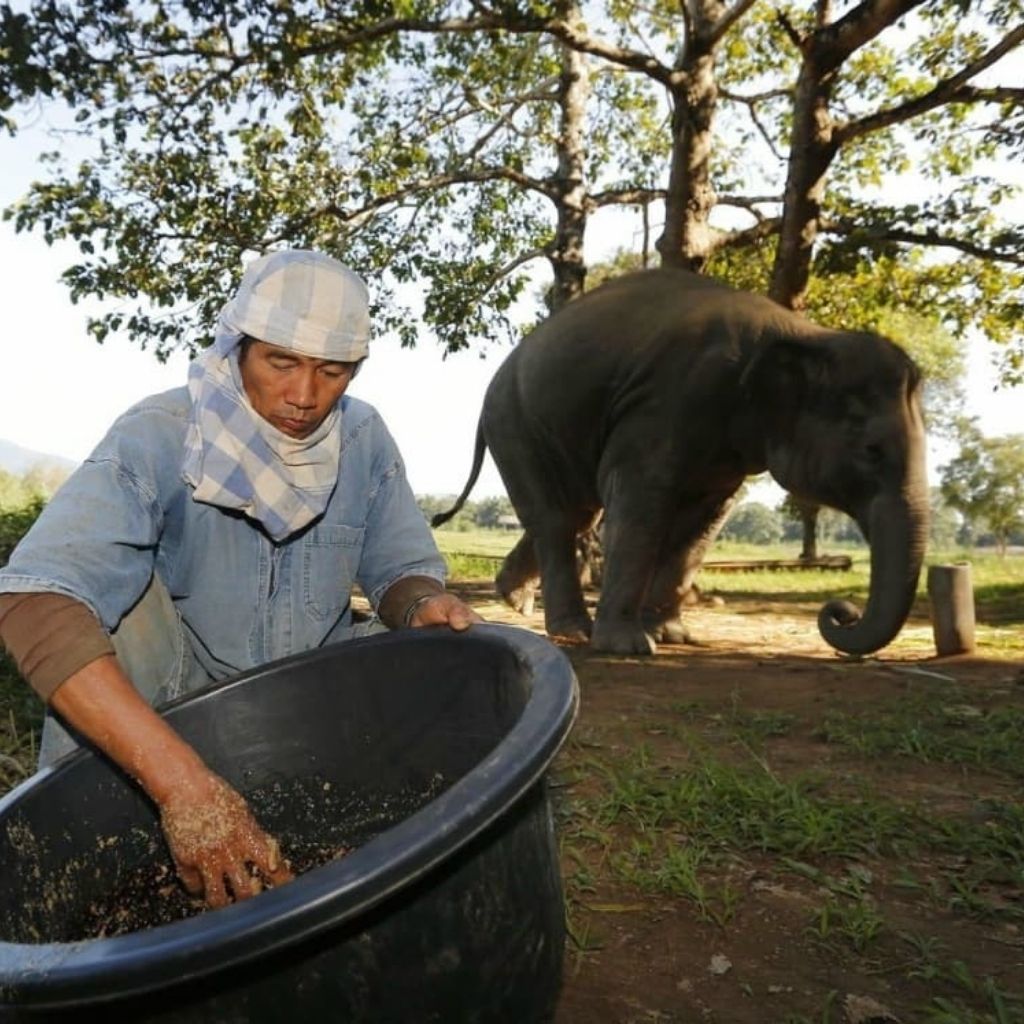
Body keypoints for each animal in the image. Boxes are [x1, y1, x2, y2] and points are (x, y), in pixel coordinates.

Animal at [433, 268, 929, 656]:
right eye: (871, 451)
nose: (840, 613)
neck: (801, 332)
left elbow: (703, 522)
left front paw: (673, 636)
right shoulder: (666, 402)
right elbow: (641, 499)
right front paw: (631, 647)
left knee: (574, 513)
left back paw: (514, 598)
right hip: (516, 424)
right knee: (556, 518)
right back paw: (573, 631)